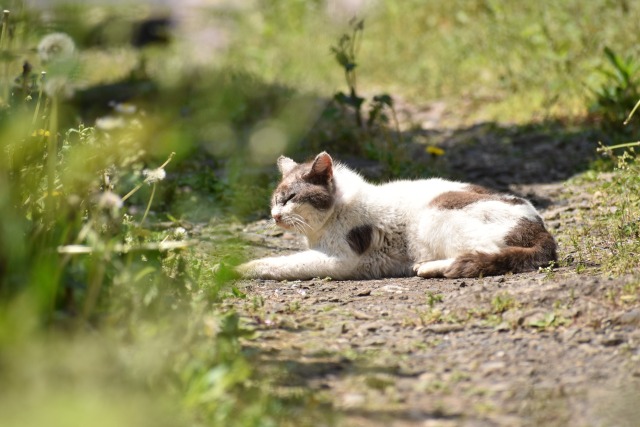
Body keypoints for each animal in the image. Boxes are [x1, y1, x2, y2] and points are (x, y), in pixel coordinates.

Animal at [238, 153, 556, 280]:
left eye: (290, 198)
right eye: (275, 199)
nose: (275, 215)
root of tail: (543, 231)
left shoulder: (340, 258)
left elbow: (276, 263)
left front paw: (236, 269)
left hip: (436, 217)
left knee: (482, 255)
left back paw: (427, 267)